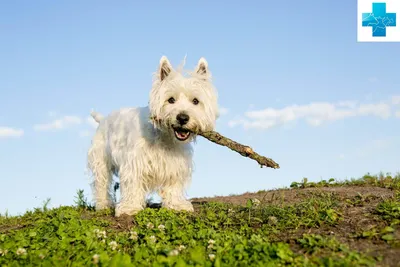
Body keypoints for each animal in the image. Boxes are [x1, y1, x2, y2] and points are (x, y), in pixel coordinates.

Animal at [86, 55, 219, 217]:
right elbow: (133, 184)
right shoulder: (134, 162)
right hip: (101, 160)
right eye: (171, 99)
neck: (165, 137)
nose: (182, 118)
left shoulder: (175, 165)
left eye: (195, 101)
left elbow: (173, 185)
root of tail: (103, 119)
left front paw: (177, 205)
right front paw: (129, 208)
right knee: (101, 183)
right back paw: (104, 205)